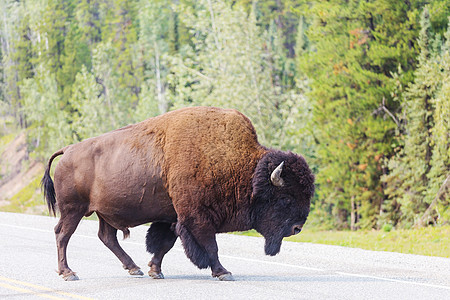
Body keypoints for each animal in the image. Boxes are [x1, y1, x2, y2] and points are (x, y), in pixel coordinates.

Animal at [44, 106, 314, 282]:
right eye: (285, 198)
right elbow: (210, 246)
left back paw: (134, 268)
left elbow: (165, 244)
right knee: (62, 235)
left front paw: (155, 271)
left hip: (104, 212)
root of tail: (68, 150)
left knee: (106, 237)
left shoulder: (174, 218)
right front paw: (224, 272)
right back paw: (69, 274)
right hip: (73, 209)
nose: (297, 228)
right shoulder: (197, 218)